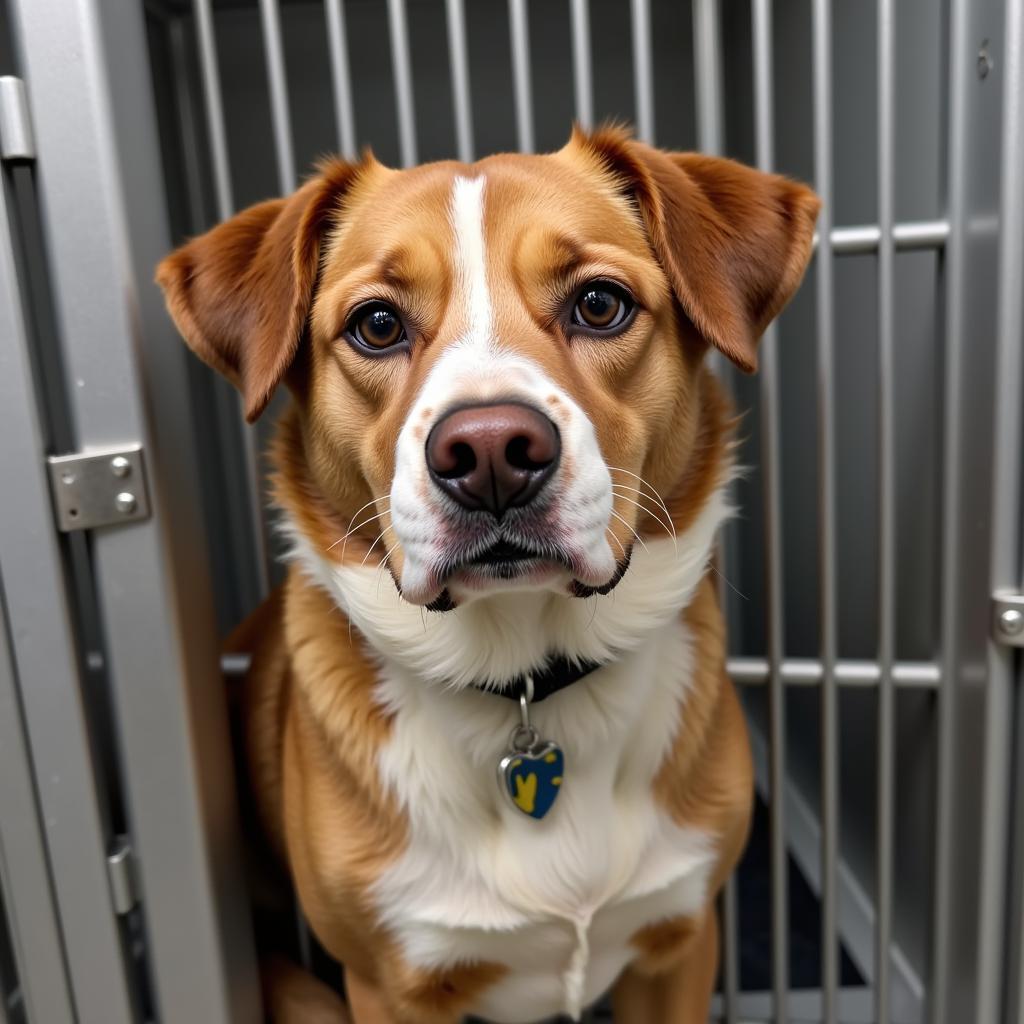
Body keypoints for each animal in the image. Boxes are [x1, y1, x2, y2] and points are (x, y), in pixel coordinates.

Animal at [155, 128, 819, 1024]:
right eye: (376, 324)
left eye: (599, 304)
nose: (492, 453)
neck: (527, 682)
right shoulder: (389, 985)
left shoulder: (680, 947)